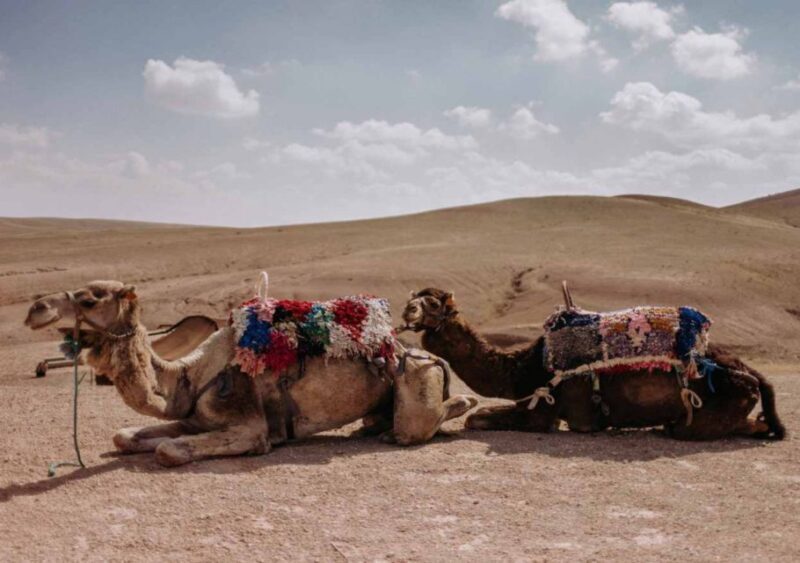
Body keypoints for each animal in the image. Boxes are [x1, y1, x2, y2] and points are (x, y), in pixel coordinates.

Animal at [24, 281, 477, 466]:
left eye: (89, 299)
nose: (35, 308)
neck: (189, 374)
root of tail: (418, 352)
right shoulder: (193, 418)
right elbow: (124, 436)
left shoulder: (247, 423)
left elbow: (168, 451)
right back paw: (374, 427)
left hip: (416, 376)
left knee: (417, 424)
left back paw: (461, 403)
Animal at [401, 288, 786, 441]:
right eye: (413, 298)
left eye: (432, 303)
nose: (407, 311)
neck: (523, 368)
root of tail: (753, 374)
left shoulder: (544, 411)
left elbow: (477, 419)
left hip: (708, 409)